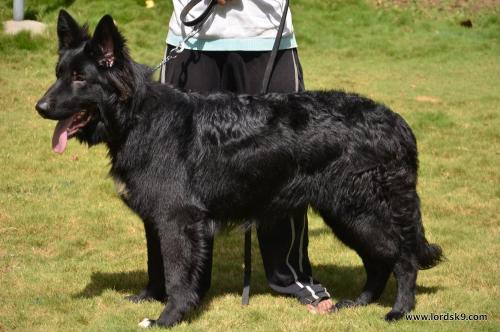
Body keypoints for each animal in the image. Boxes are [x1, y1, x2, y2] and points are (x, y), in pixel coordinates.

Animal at [36, 10, 442, 330]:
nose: (39, 107)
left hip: (359, 211)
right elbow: (157, 265)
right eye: (58, 73)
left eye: (80, 79)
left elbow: (177, 274)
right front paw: (150, 298)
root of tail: (397, 123)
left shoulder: (177, 219)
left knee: (403, 257)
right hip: (345, 214)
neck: (137, 116)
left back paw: (399, 310)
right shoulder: (156, 218)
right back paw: (359, 303)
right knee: (379, 259)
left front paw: (169, 317)